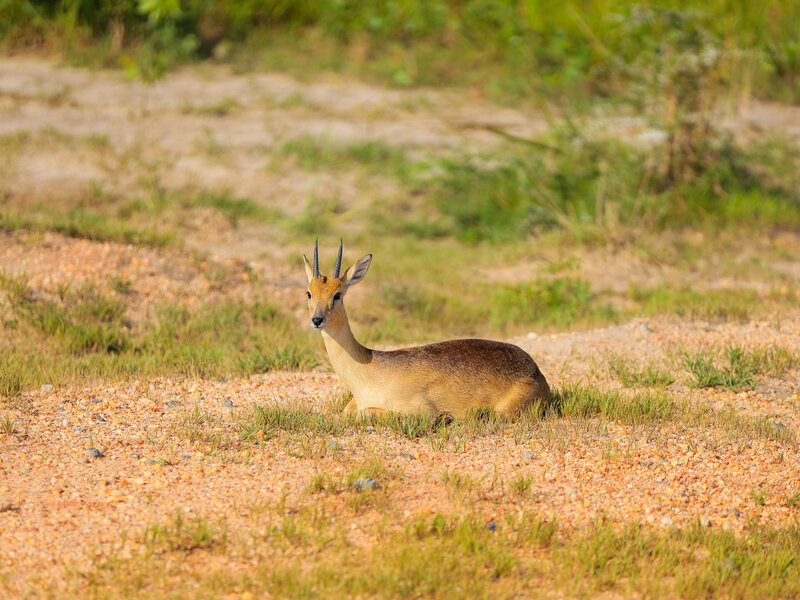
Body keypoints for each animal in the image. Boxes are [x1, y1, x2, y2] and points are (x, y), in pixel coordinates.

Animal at [303, 240, 551, 419]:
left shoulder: (421, 411)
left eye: (338, 294)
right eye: (309, 292)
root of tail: (536, 371)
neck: (370, 370)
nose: (317, 320)